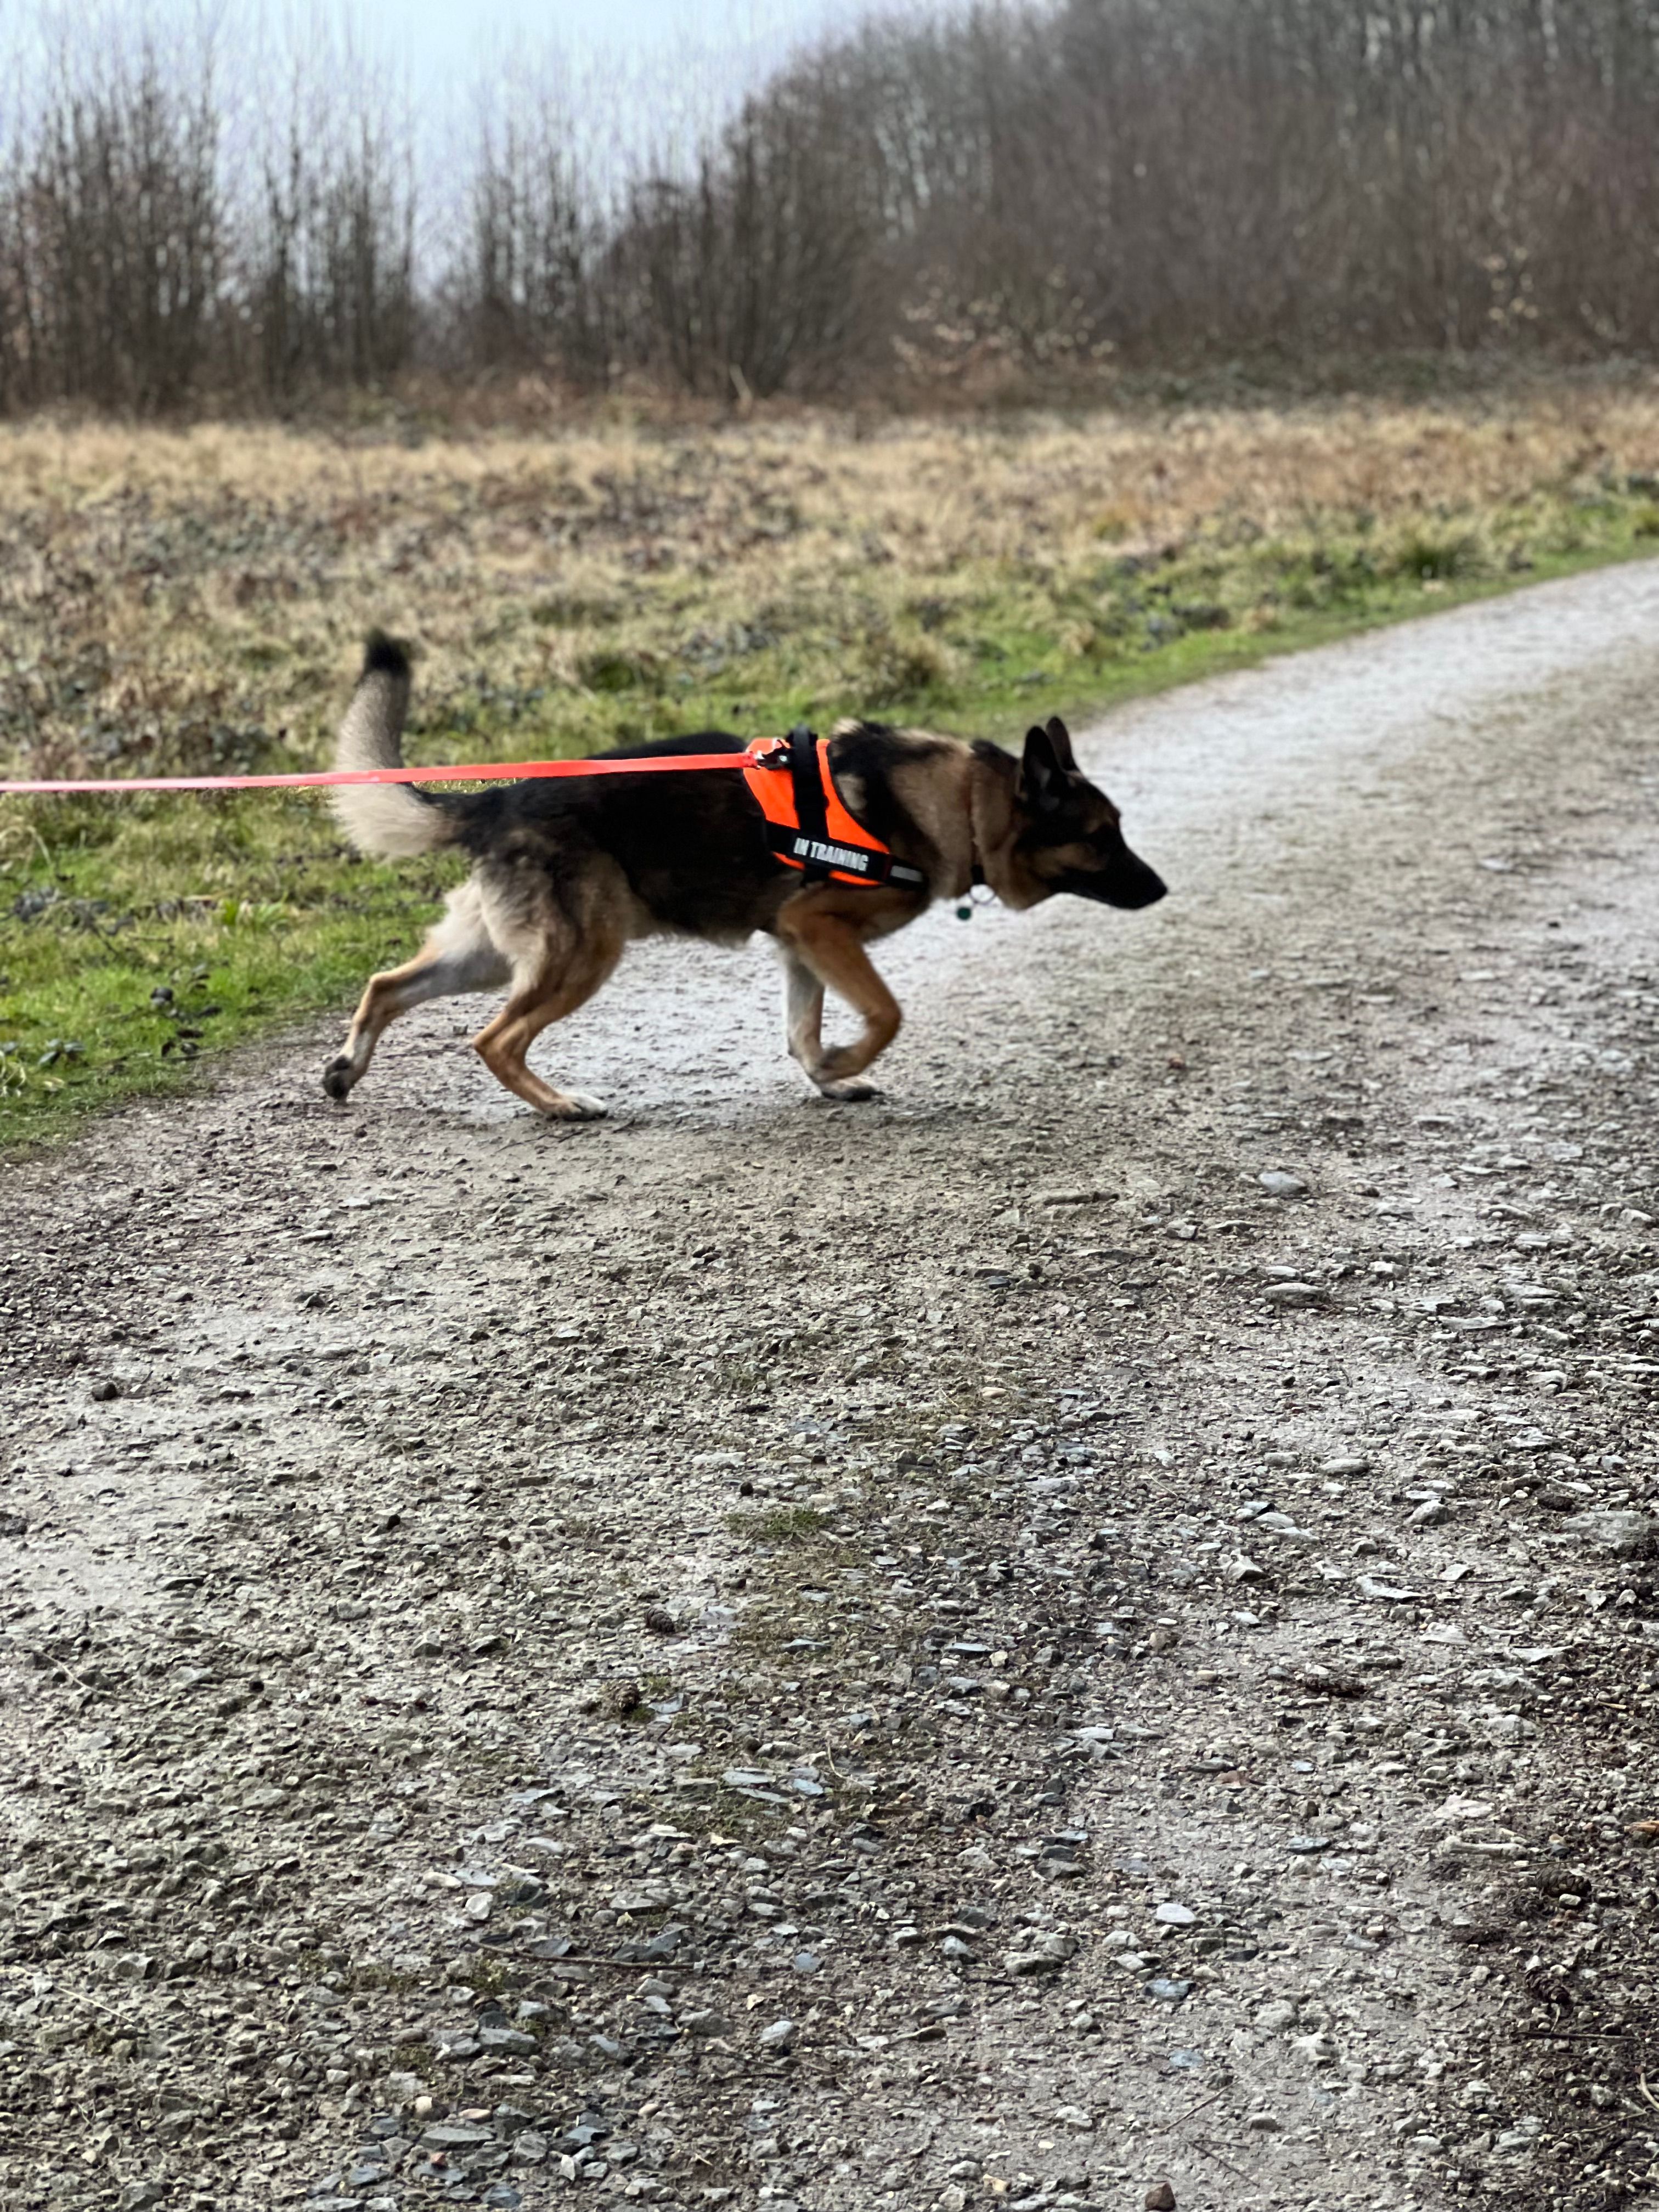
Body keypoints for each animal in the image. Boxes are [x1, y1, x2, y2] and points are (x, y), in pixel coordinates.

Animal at [320, 641, 1167, 1124]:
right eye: (1102, 838)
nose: (1160, 891)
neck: (959, 801)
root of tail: (498, 798)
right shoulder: (822, 931)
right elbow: (886, 1014)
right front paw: (844, 1066)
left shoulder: (802, 945)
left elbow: (802, 1028)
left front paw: (828, 1078)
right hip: (581, 955)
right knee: (494, 1040)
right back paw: (560, 1104)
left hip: (498, 954)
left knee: (386, 984)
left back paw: (345, 1070)